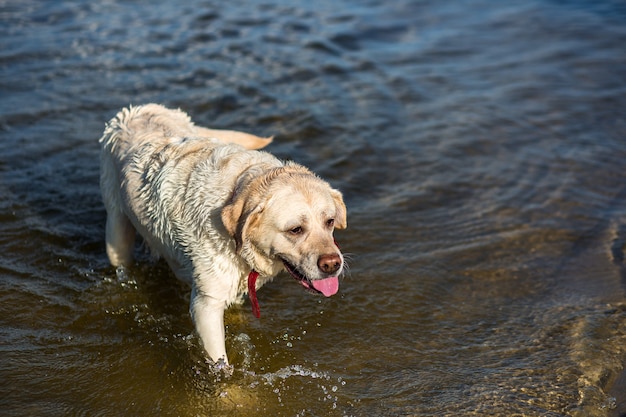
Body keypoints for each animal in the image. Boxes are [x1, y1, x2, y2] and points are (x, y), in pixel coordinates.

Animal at [96, 104, 346, 364]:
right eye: (295, 229)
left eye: (329, 222)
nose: (333, 264)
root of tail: (141, 109)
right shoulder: (206, 306)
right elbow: (220, 362)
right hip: (116, 229)